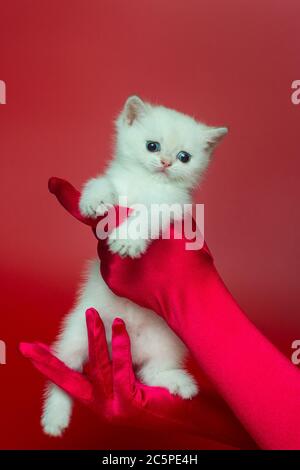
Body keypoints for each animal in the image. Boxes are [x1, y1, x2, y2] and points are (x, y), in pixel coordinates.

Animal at [41, 96, 225, 436]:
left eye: (184, 157)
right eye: (152, 146)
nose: (165, 162)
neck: (146, 182)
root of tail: (126, 347)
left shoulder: (172, 206)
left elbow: (148, 215)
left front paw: (127, 240)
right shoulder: (116, 180)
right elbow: (102, 182)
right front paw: (93, 200)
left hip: (168, 343)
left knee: (150, 374)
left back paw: (177, 382)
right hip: (78, 332)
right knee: (63, 373)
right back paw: (55, 418)